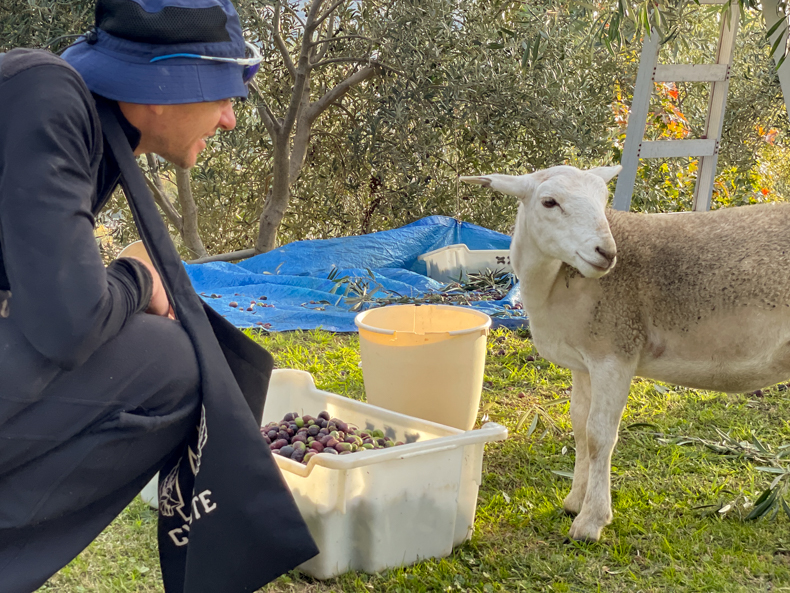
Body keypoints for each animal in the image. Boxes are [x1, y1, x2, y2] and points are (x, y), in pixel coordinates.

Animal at [460, 163, 790, 540]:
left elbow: (598, 436)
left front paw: (590, 521)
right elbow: (579, 426)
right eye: (549, 202)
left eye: (603, 200)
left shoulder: (614, 353)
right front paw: (574, 500)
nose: (606, 253)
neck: (556, 283)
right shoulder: (583, 363)